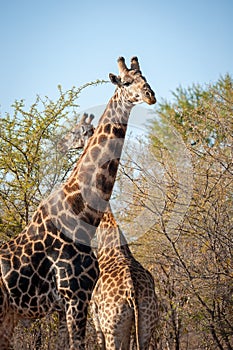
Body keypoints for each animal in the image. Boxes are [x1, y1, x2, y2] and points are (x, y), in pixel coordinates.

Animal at [0, 56, 157, 348]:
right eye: (126, 81)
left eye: (145, 78)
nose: (150, 95)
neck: (81, 215)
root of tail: (133, 292)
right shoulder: (74, 298)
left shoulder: (73, 302)